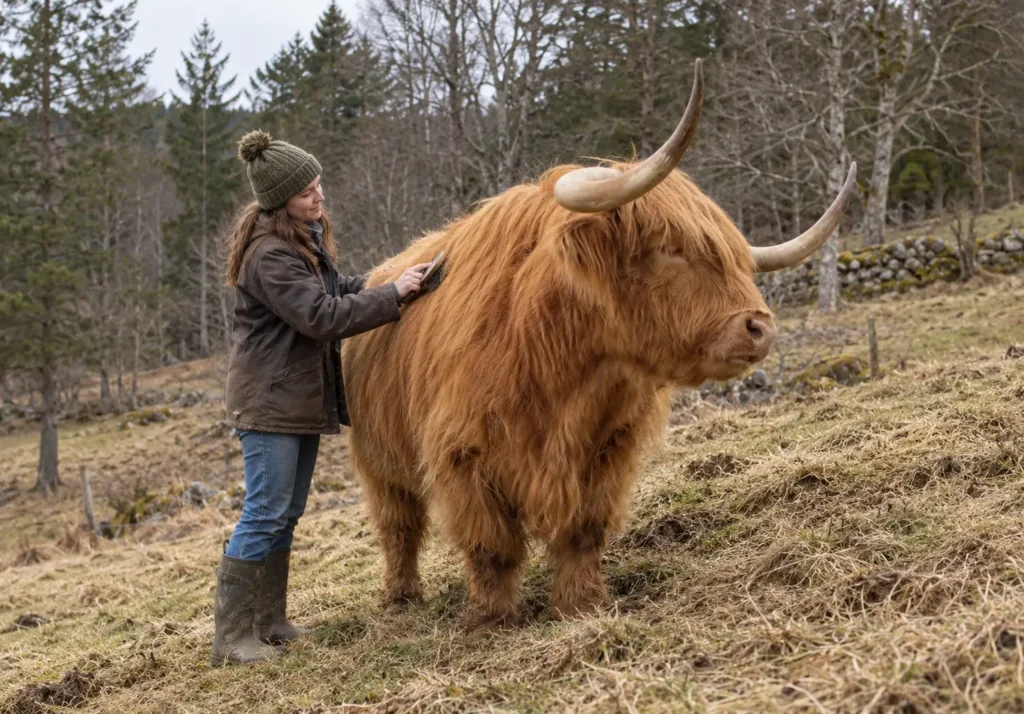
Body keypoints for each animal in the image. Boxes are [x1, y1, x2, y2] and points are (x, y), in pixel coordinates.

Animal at [341, 60, 856, 629]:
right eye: (669, 248)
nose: (760, 327)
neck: (564, 370)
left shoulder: (609, 448)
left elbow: (583, 532)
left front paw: (581, 606)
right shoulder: (463, 452)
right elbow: (491, 545)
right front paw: (491, 620)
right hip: (378, 458)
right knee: (398, 525)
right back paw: (400, 597)